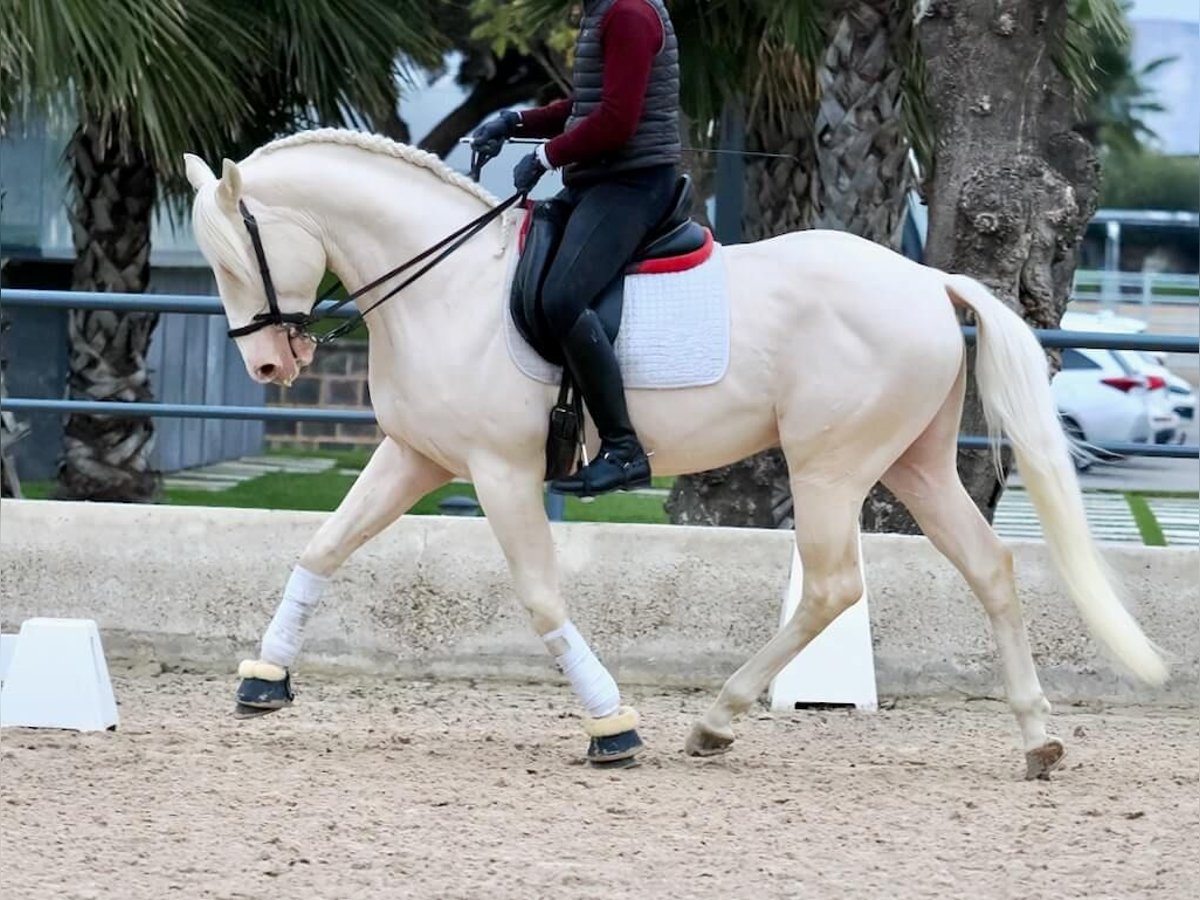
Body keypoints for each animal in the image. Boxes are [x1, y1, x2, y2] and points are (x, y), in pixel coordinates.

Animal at [182, 128, 1166, 782]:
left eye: (234, 258)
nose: (269, 367)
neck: (447, 285)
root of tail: (927, 278)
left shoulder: (500, 472)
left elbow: (541, 598)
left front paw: (612, 726)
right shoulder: (416, 457)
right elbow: (323, 547)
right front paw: (264, 679)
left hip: (830, 467)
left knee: (834, 587)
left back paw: (717, 721)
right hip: (913, 463)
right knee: (990, 566)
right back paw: (1037, 738)